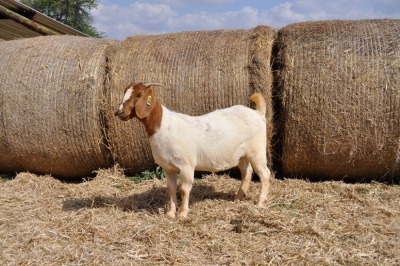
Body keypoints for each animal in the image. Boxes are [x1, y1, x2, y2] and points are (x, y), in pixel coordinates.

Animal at [115, 82, 272, 219]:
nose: (119, 112)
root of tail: (258, 113)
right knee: (247, 172)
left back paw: (260, 203)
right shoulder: (168, 167)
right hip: (241, 154)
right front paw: (170, 214)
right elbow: (171, 189)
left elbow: (184, 190)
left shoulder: (186, 165)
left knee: (265, 174)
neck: (163, 126)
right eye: (125, 92)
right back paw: (238, 198)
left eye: (138, 95)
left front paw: (183, 214)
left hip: (257, 151)